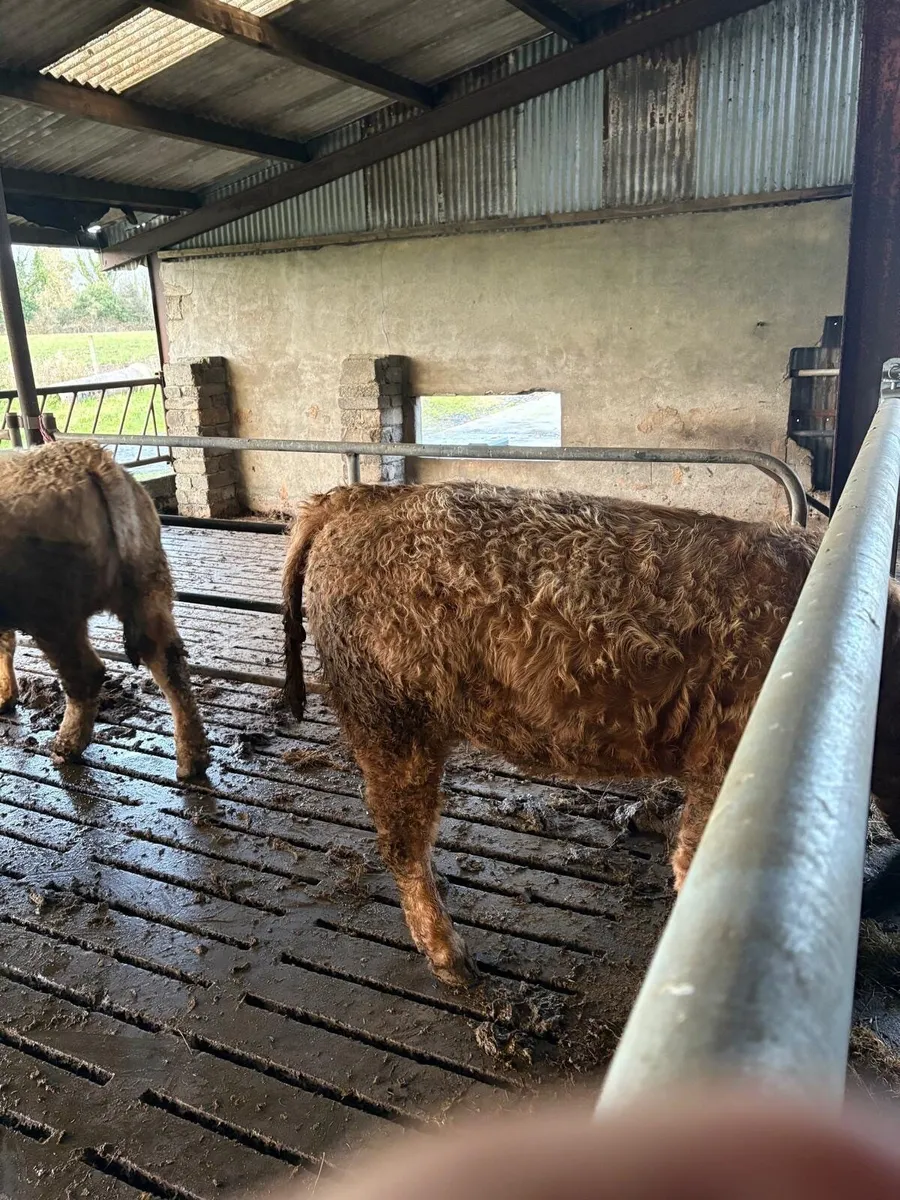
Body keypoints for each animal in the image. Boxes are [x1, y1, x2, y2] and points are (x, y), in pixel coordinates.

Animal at [0, 440, 210, 781]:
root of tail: (92, 460)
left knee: (85, 675)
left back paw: (65, 746)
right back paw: (191, 760)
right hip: (148, 586)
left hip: (54, 612)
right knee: (169, 662)